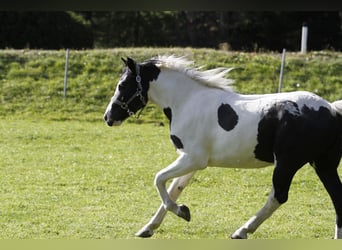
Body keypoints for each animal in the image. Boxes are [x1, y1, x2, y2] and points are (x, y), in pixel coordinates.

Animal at [103, 55, 342, 239]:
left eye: (122, 85)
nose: (108, 117)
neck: (186, 102)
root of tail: (331, 109)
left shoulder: (193, 159)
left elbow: (159, 179)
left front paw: (182, 212)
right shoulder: (191, 161)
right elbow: (173, 189)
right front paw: (148, 228)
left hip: (287, 164)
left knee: (278, 196)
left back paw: (242, 231)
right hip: (323, 165)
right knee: (336, 195)